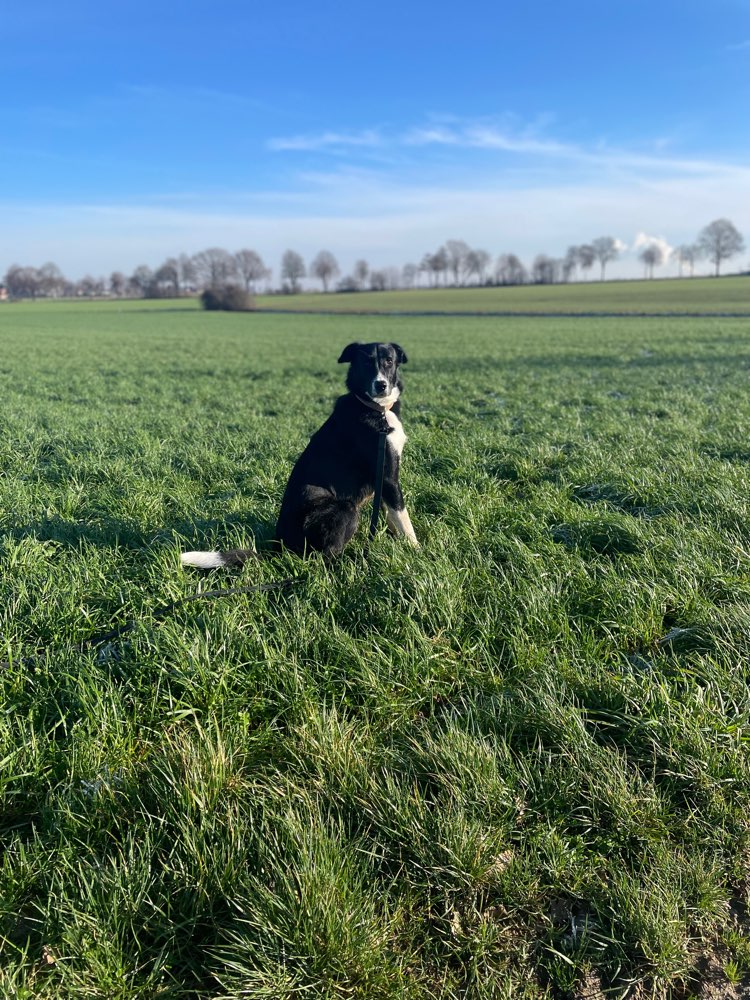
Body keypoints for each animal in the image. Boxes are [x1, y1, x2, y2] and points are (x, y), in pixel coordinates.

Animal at [180, 340, 420, 568]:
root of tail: (281, 547)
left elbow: (392, 517)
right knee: (325, 556)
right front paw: (416, 552)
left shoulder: (384, 480)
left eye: (389, 361)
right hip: (344, 507)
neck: (377, 409)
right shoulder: (388, 477)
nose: (381, 385)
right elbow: (404, 520)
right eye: (366, 362)